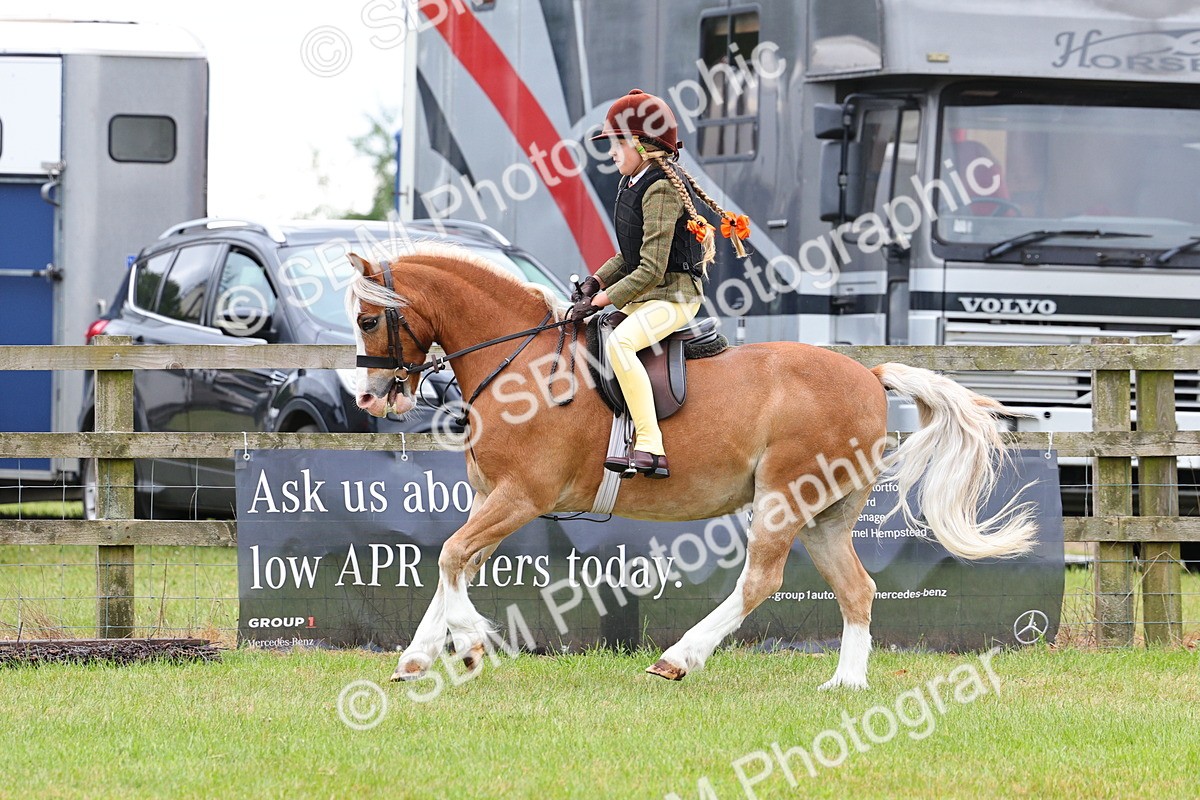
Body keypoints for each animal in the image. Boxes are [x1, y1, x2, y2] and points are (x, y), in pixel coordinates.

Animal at [346, 244, 1036, 689]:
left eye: (369, 317)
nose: (372, 399)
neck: (521, 365)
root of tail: (869, 374)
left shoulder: (521, 495)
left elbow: (451, 558)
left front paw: (469, 646)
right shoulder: (491, 495)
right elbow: (453, 564)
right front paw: (417, 658)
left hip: (785, 496)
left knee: (760, 580)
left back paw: (678, 658)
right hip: (825, 515)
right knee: (857, 588)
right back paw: (846, 683)